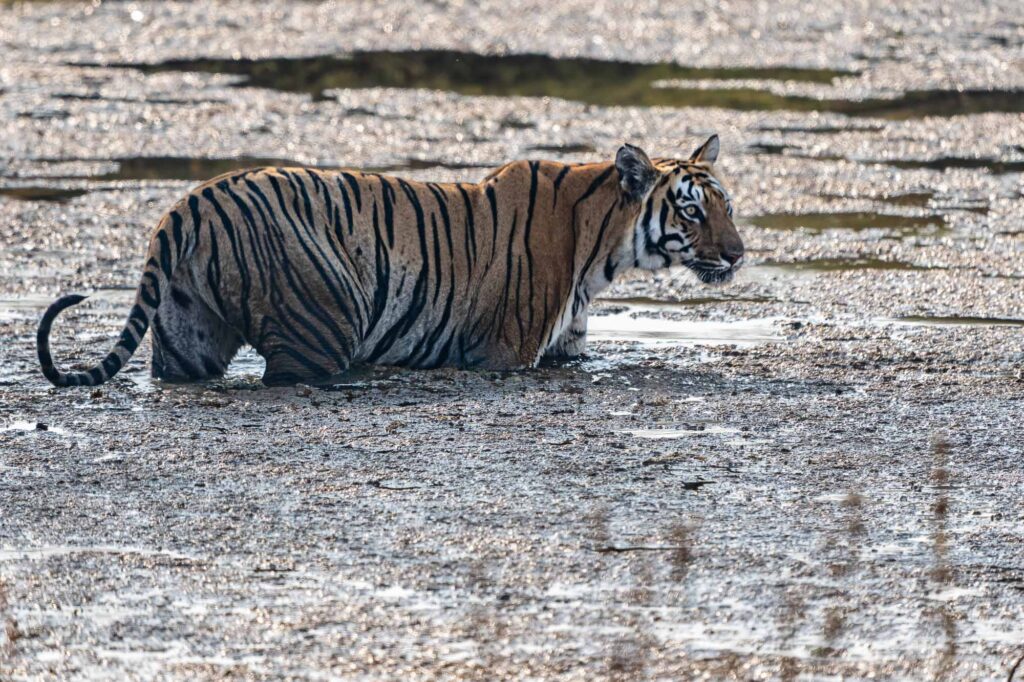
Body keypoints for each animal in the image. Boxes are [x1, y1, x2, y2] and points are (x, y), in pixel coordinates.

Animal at [37, 134, 744, 387]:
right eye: (690, 212)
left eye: (726, 205)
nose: (738, 255)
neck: (603, 250)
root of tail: (189, 202)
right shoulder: (503, 353)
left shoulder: (566, 350)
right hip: (324, 323)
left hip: (188, 340)